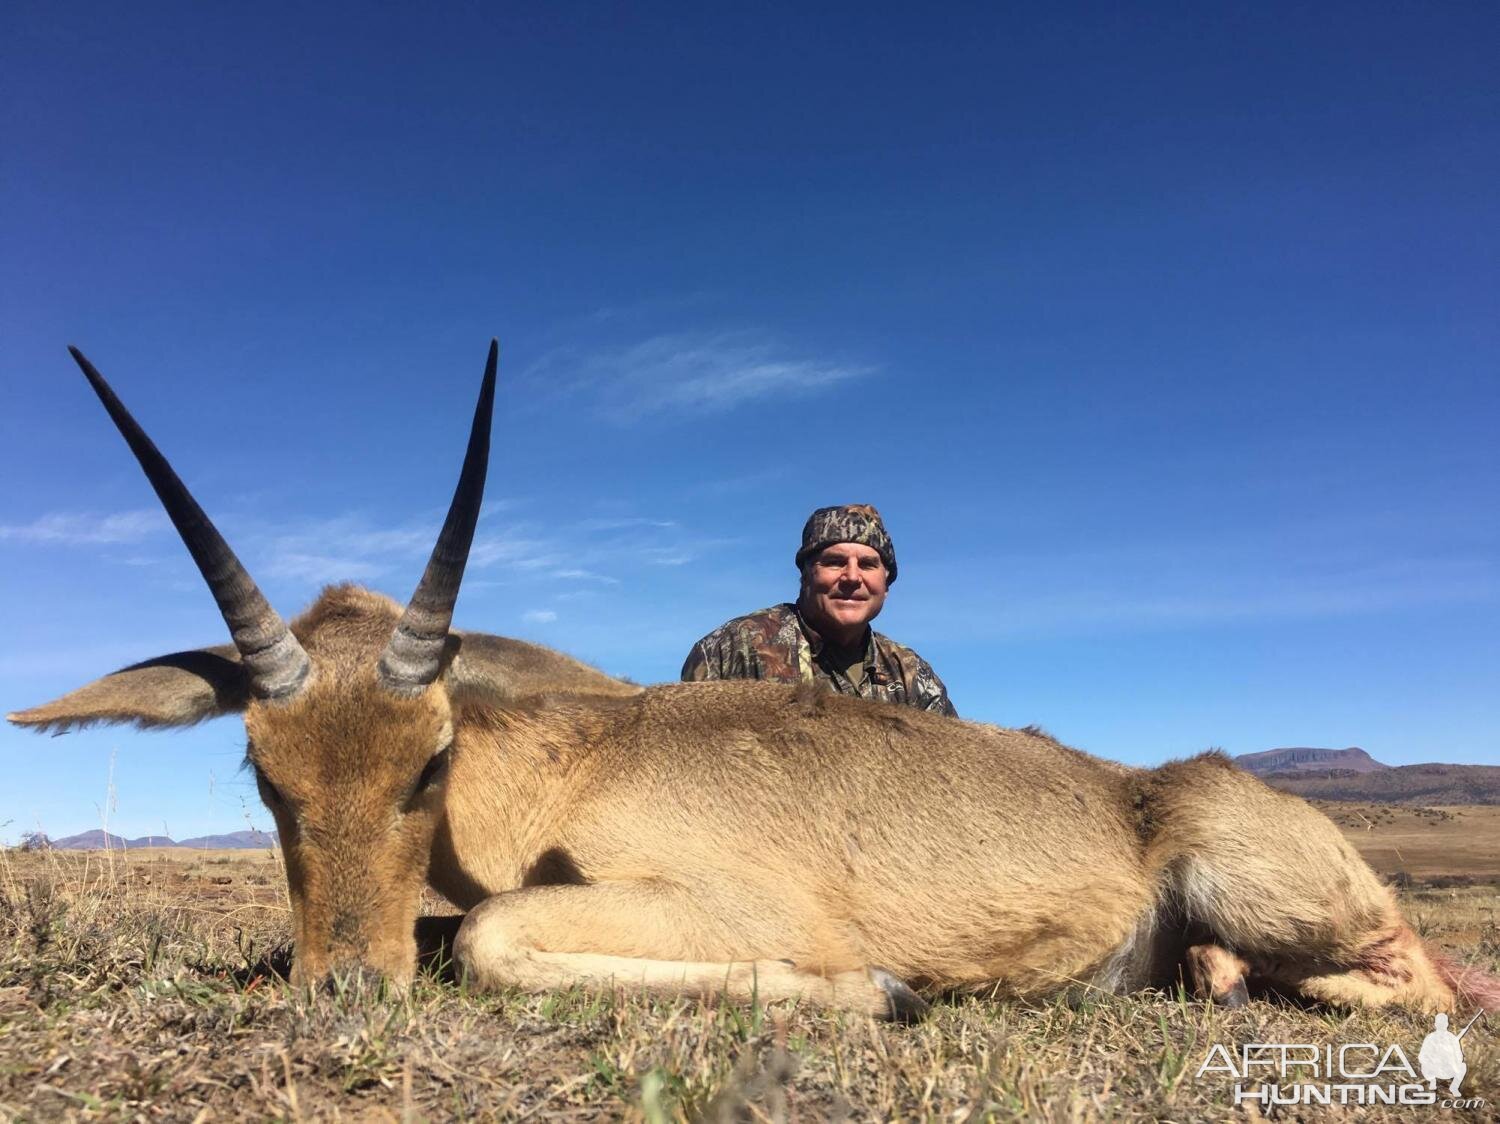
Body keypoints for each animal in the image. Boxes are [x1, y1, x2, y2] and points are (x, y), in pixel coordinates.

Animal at [8, 342, 1488, 1014]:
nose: (344, 985)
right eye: (262, 772)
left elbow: (487, 936)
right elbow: (456, 930)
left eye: (428, 759)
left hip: (1283, 891)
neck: (573, 763)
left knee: (1416, 977)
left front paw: (876, 990)